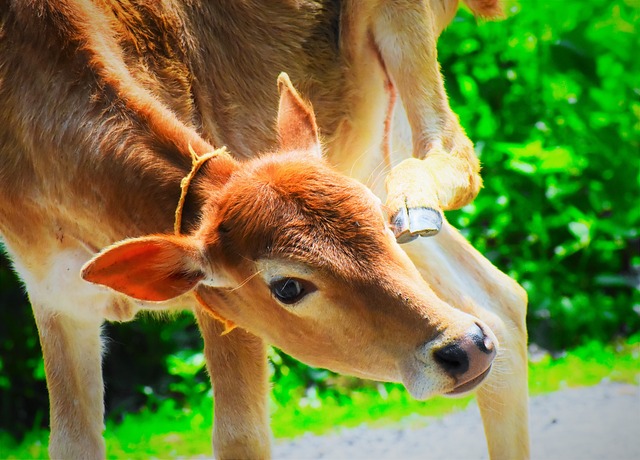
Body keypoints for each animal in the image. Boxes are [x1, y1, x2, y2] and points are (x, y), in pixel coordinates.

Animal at [0, 1, 528, 458]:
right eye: (287, 286)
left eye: (381, 224)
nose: (465, 349)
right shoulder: (55, 298)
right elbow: (72, 443)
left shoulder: (222, 314)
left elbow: (241, 436)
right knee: (497, 299)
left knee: (454, 152)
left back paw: (413, 199)